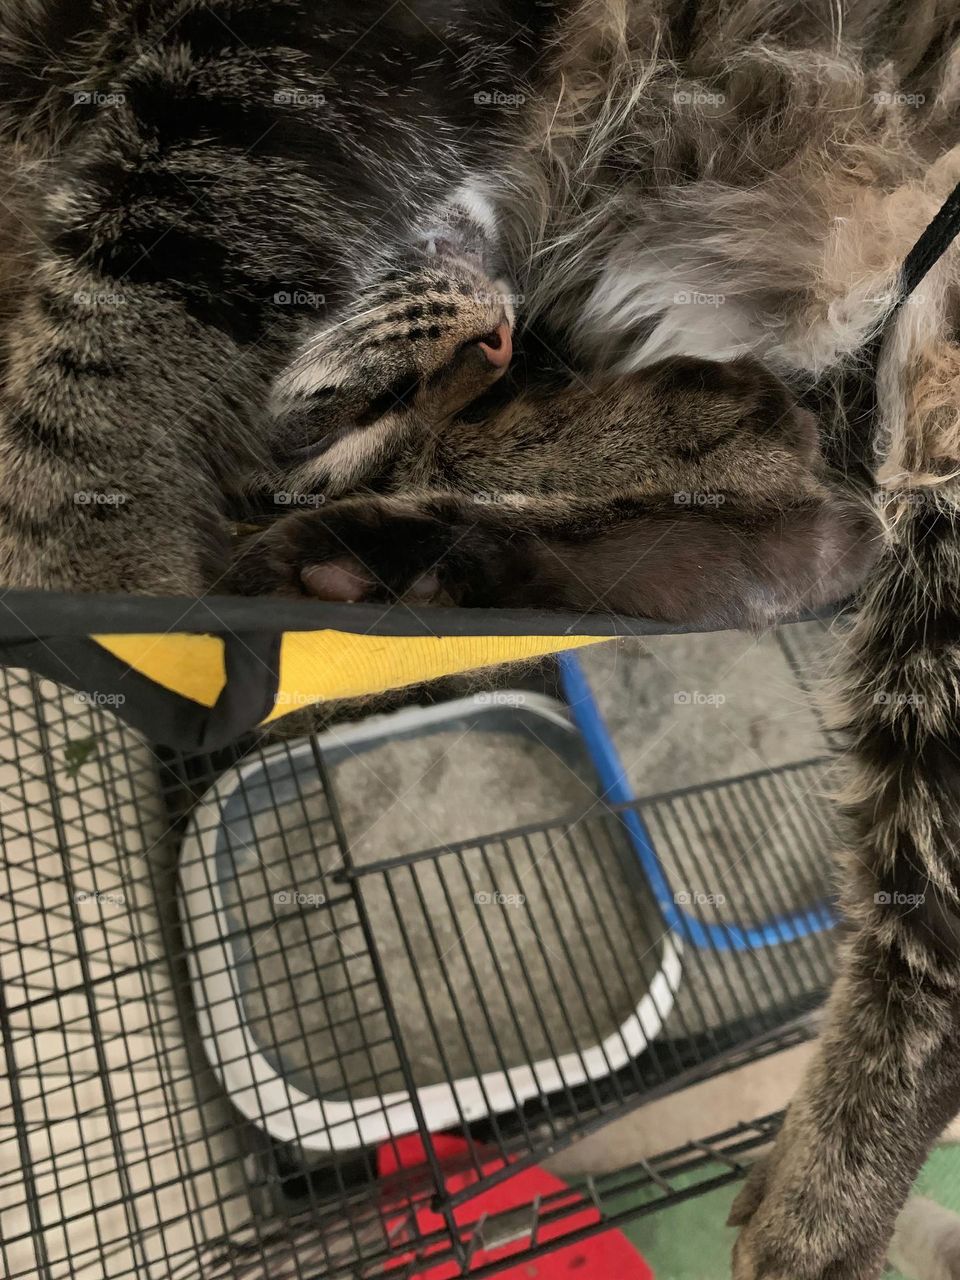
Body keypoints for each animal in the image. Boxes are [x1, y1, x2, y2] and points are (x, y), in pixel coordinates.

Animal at [3, 2, 960, 1280]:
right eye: (348, 413)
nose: (498, 340)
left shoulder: (258, 70)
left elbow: (108, 338)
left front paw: (92, 571)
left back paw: (817, 1218)